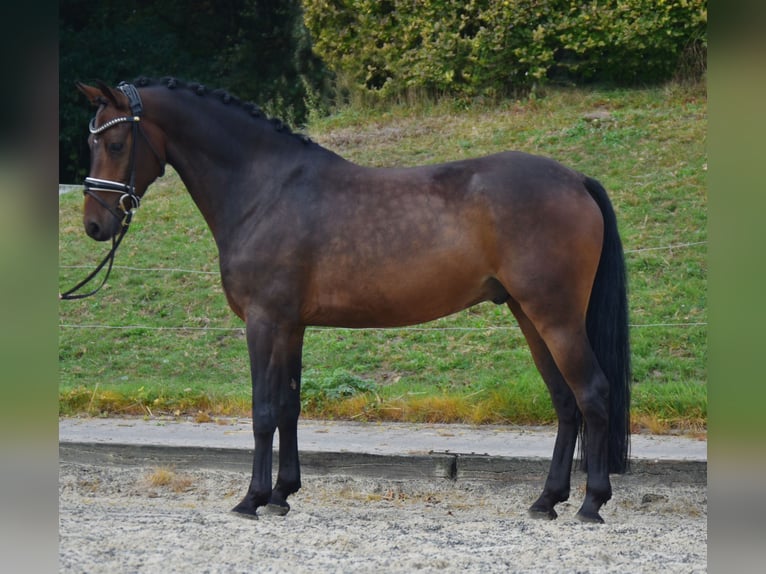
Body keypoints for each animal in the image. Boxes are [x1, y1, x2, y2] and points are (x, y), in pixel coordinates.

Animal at [72, 77, 632, 528]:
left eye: (117, 142)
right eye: (92, 140)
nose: (94, 226)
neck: (266, 189)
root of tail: (575, 179)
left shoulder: (263, 321)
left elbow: (263, 410)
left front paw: (252, 499)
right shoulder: (291, 326)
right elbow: (290, 406)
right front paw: (282, 495)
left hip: (556, 317)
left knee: (593, 393)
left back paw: (590, 504)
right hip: (529, 314)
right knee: (565, 401)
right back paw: (546, 500)